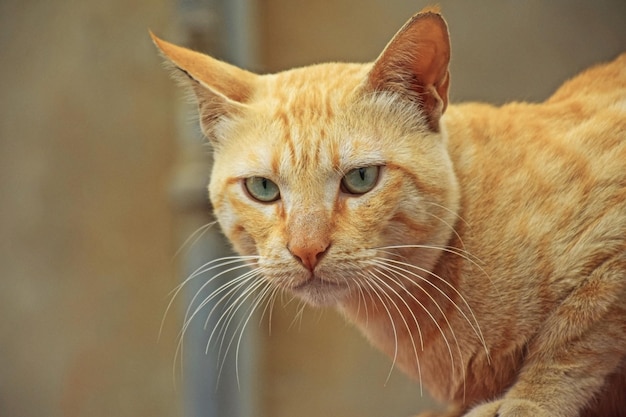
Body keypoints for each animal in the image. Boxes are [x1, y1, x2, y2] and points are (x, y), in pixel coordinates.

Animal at [152, 6, 624, 416]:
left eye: (361, 179)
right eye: (263, 188)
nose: (307, 250)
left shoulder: (610, 263)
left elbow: (571, 339)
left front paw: (525, 403)